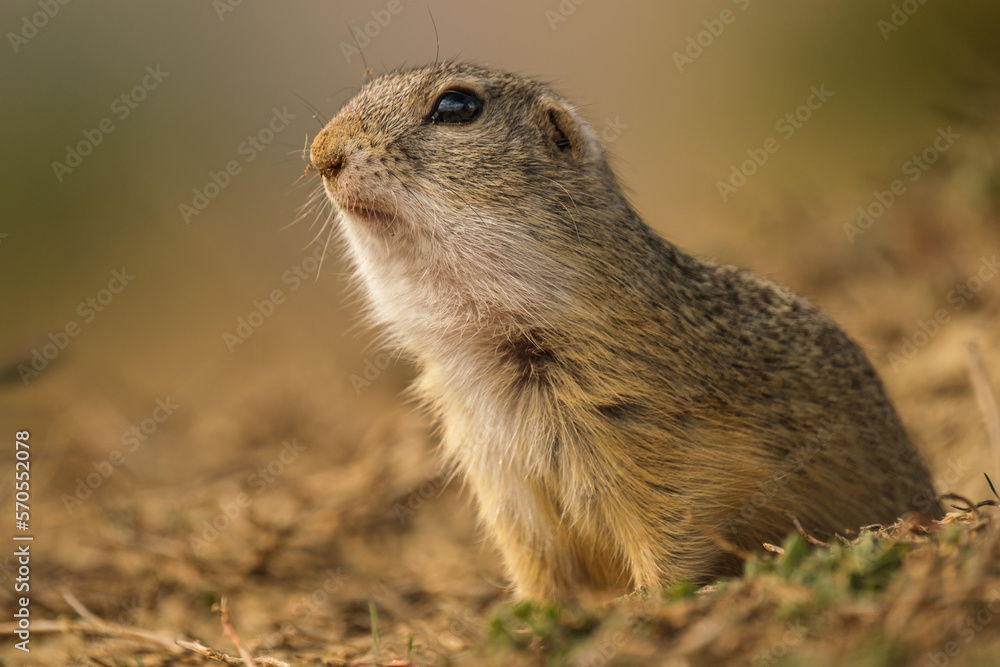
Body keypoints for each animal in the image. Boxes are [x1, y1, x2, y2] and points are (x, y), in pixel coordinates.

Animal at [308, 62, 942, 600]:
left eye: (457, 106)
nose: (321, 154)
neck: (491, 340)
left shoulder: (655, 450)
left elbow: (672, 535)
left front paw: (650, 603)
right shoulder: (500, 479)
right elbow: (537, 563)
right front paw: (536, 619)